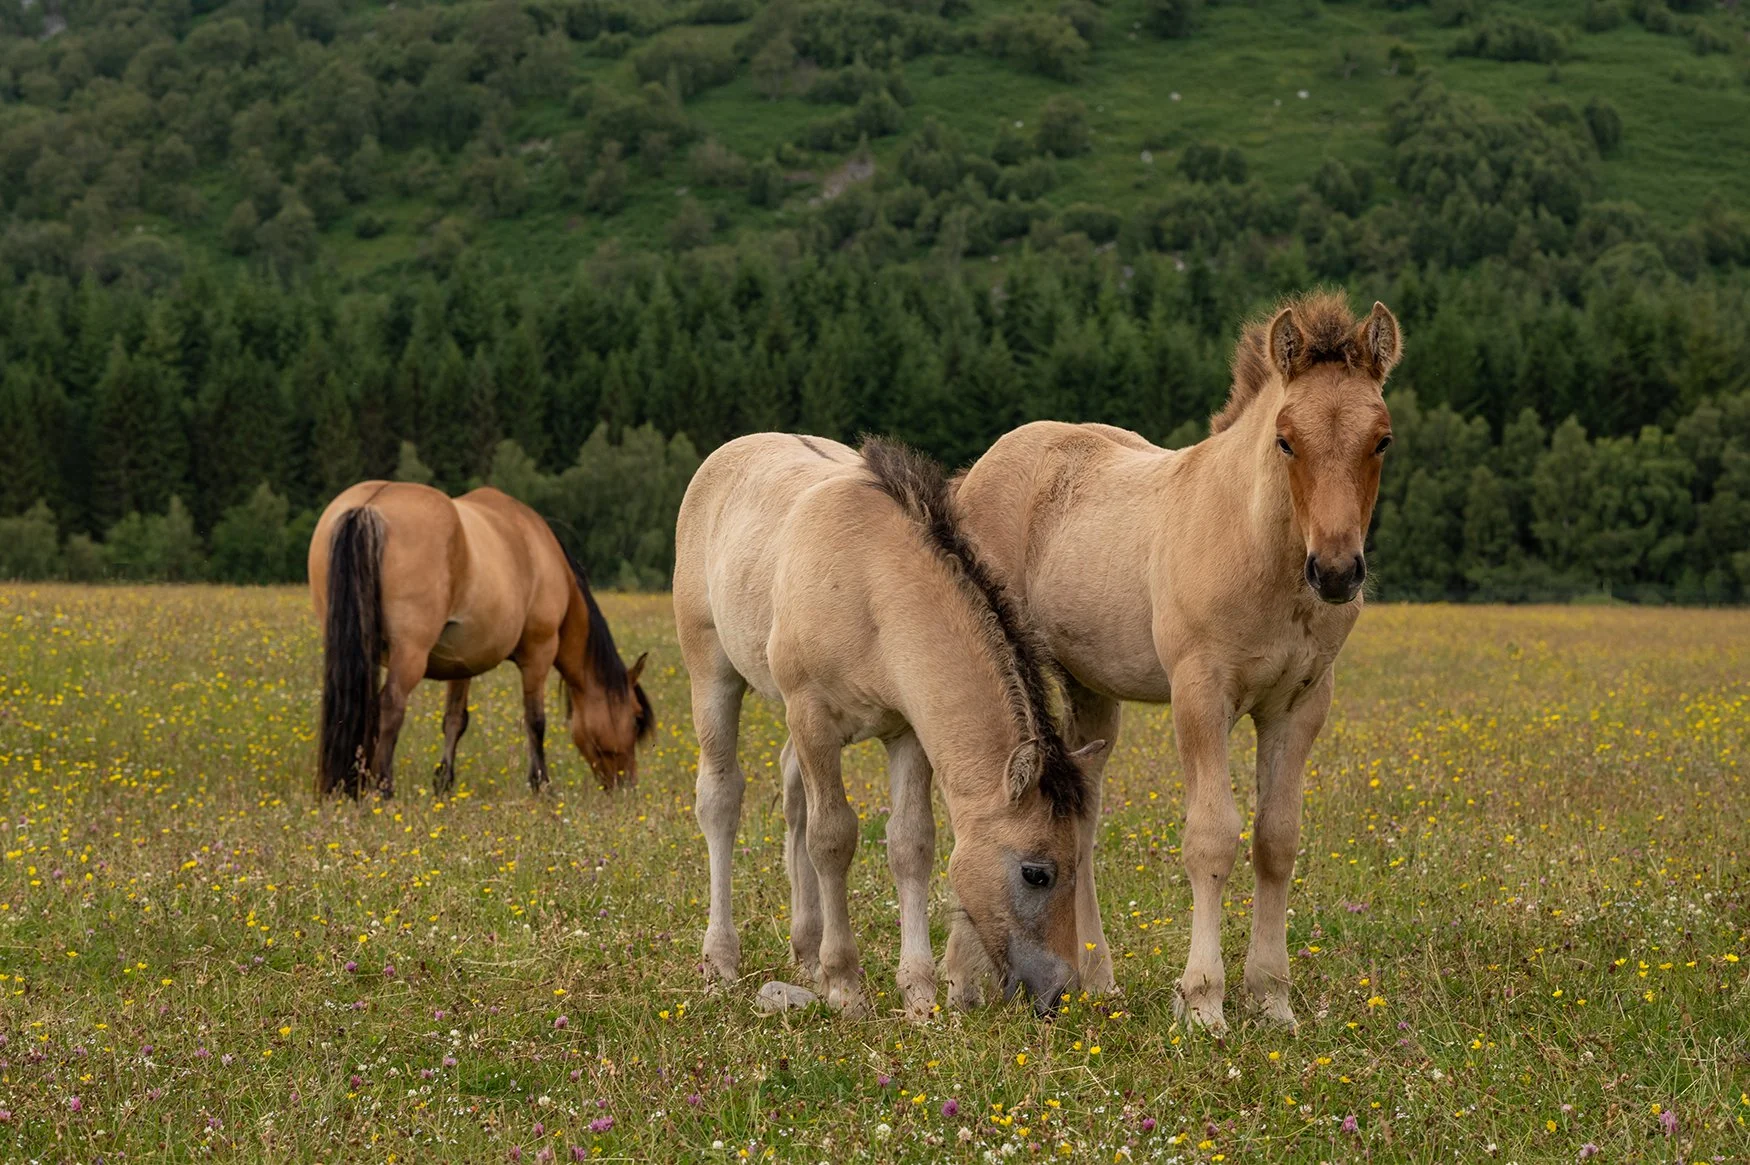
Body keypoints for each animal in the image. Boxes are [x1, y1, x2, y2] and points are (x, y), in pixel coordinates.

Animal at [308, 482, 653, 800]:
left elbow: (455, 720)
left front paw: (444, 783)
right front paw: (541, 785)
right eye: (636, 719)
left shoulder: (461, 663)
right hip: (409, 654)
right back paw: (383, 789)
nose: (627, 787)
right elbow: (535, 720)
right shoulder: (539, 653)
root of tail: (369, 505)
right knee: (391, 706)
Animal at [673, 434, 1105, 1020]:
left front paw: (919, 993)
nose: (1059, 993)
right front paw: (845, 985)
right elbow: (832, 838)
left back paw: (805, 954)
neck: (870, 587)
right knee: (721, 799)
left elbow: (910, 843)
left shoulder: (907, 733)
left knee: (793, 794)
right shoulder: (812, 717)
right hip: (712, 674)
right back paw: (721, 961)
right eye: (1036, 873)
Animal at [951, 292, 1401, 1035]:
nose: (1336, 572)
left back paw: (1098, 981)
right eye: (1286, 439)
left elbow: (1277, 839)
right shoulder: (1200, 693)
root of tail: (976, 471)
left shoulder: (1302, 703)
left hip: (1090, 690)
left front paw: (1272, 998)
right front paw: (1202, 1003)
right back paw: (964, 978)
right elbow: (1212, 837)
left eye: (1381, 439)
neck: (1259, 548)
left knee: (1081, 821)